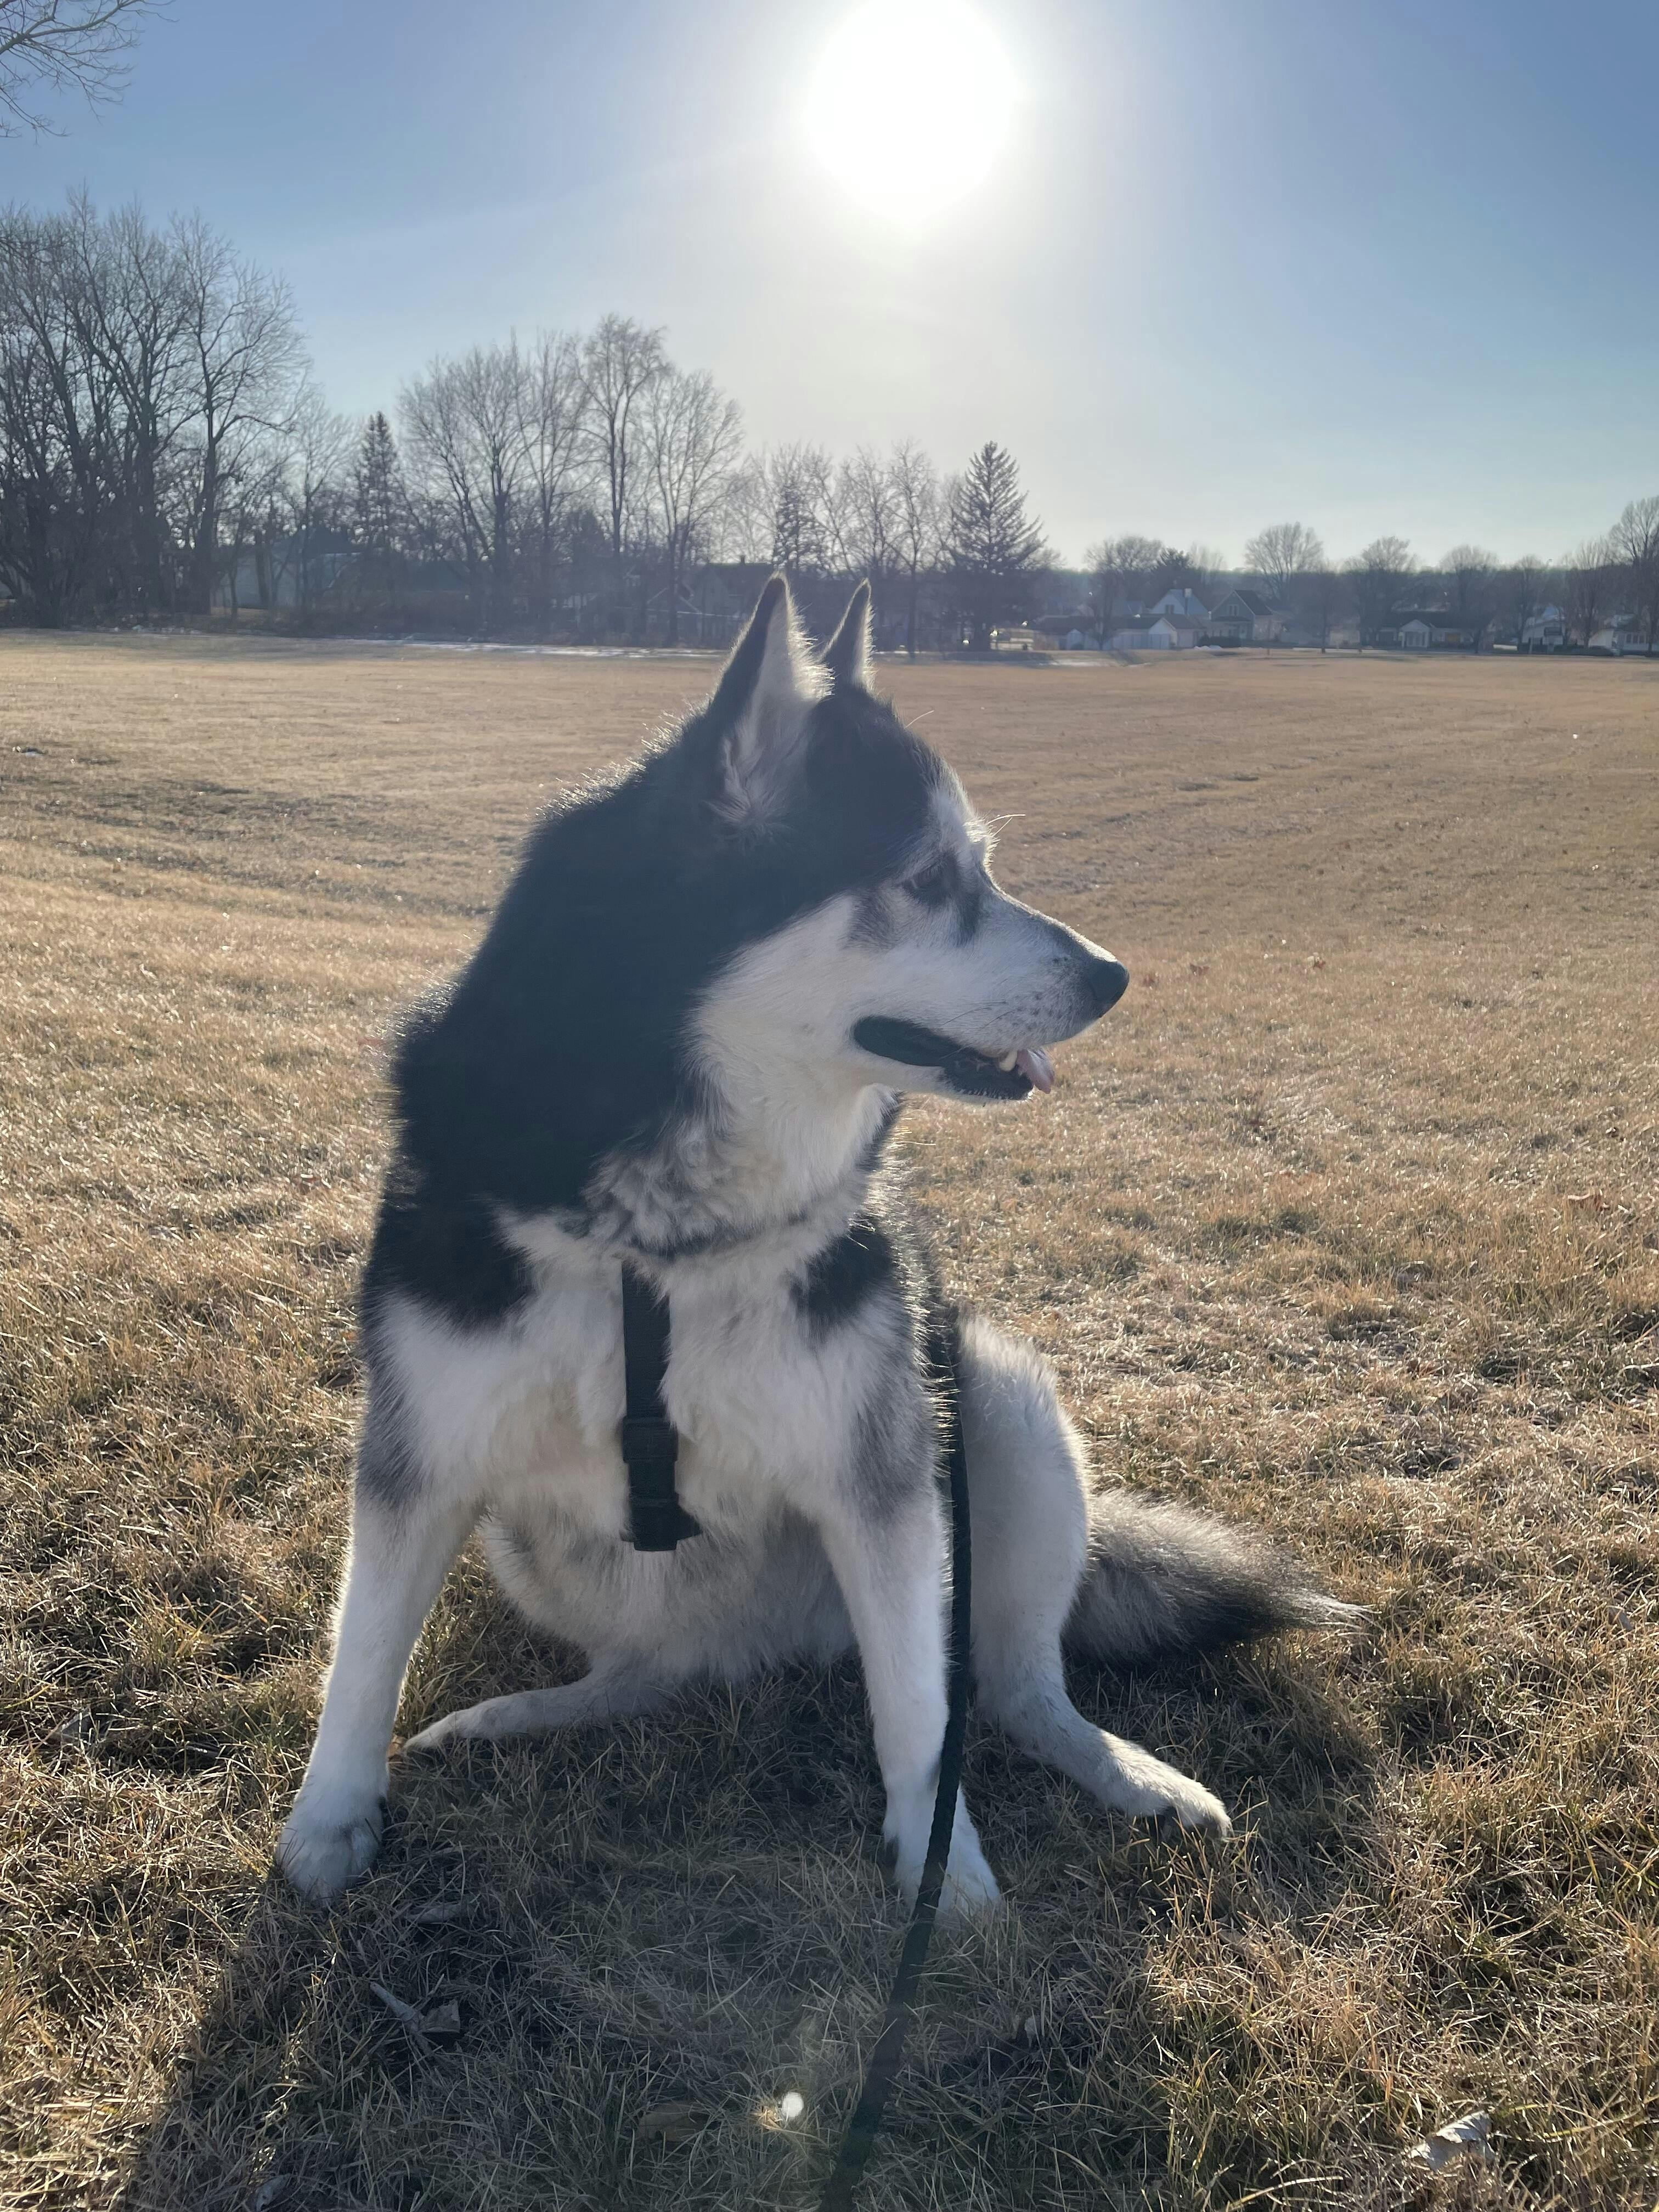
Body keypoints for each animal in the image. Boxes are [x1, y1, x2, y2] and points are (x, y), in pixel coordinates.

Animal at [277, 575, 1353, 1913]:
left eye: (982, 865)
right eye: (930, 876)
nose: (1114, 977)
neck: (664, 1232)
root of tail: (754, 1650)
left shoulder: (877, 1485)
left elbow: (917, 1716)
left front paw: (946, 1881)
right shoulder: (419, 1457)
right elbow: (361, 1652)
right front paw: (328, 1823)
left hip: (989, 1397)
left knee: (1006, 1686)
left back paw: (1128, 1773)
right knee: (646, 1673)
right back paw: (520, 1716)